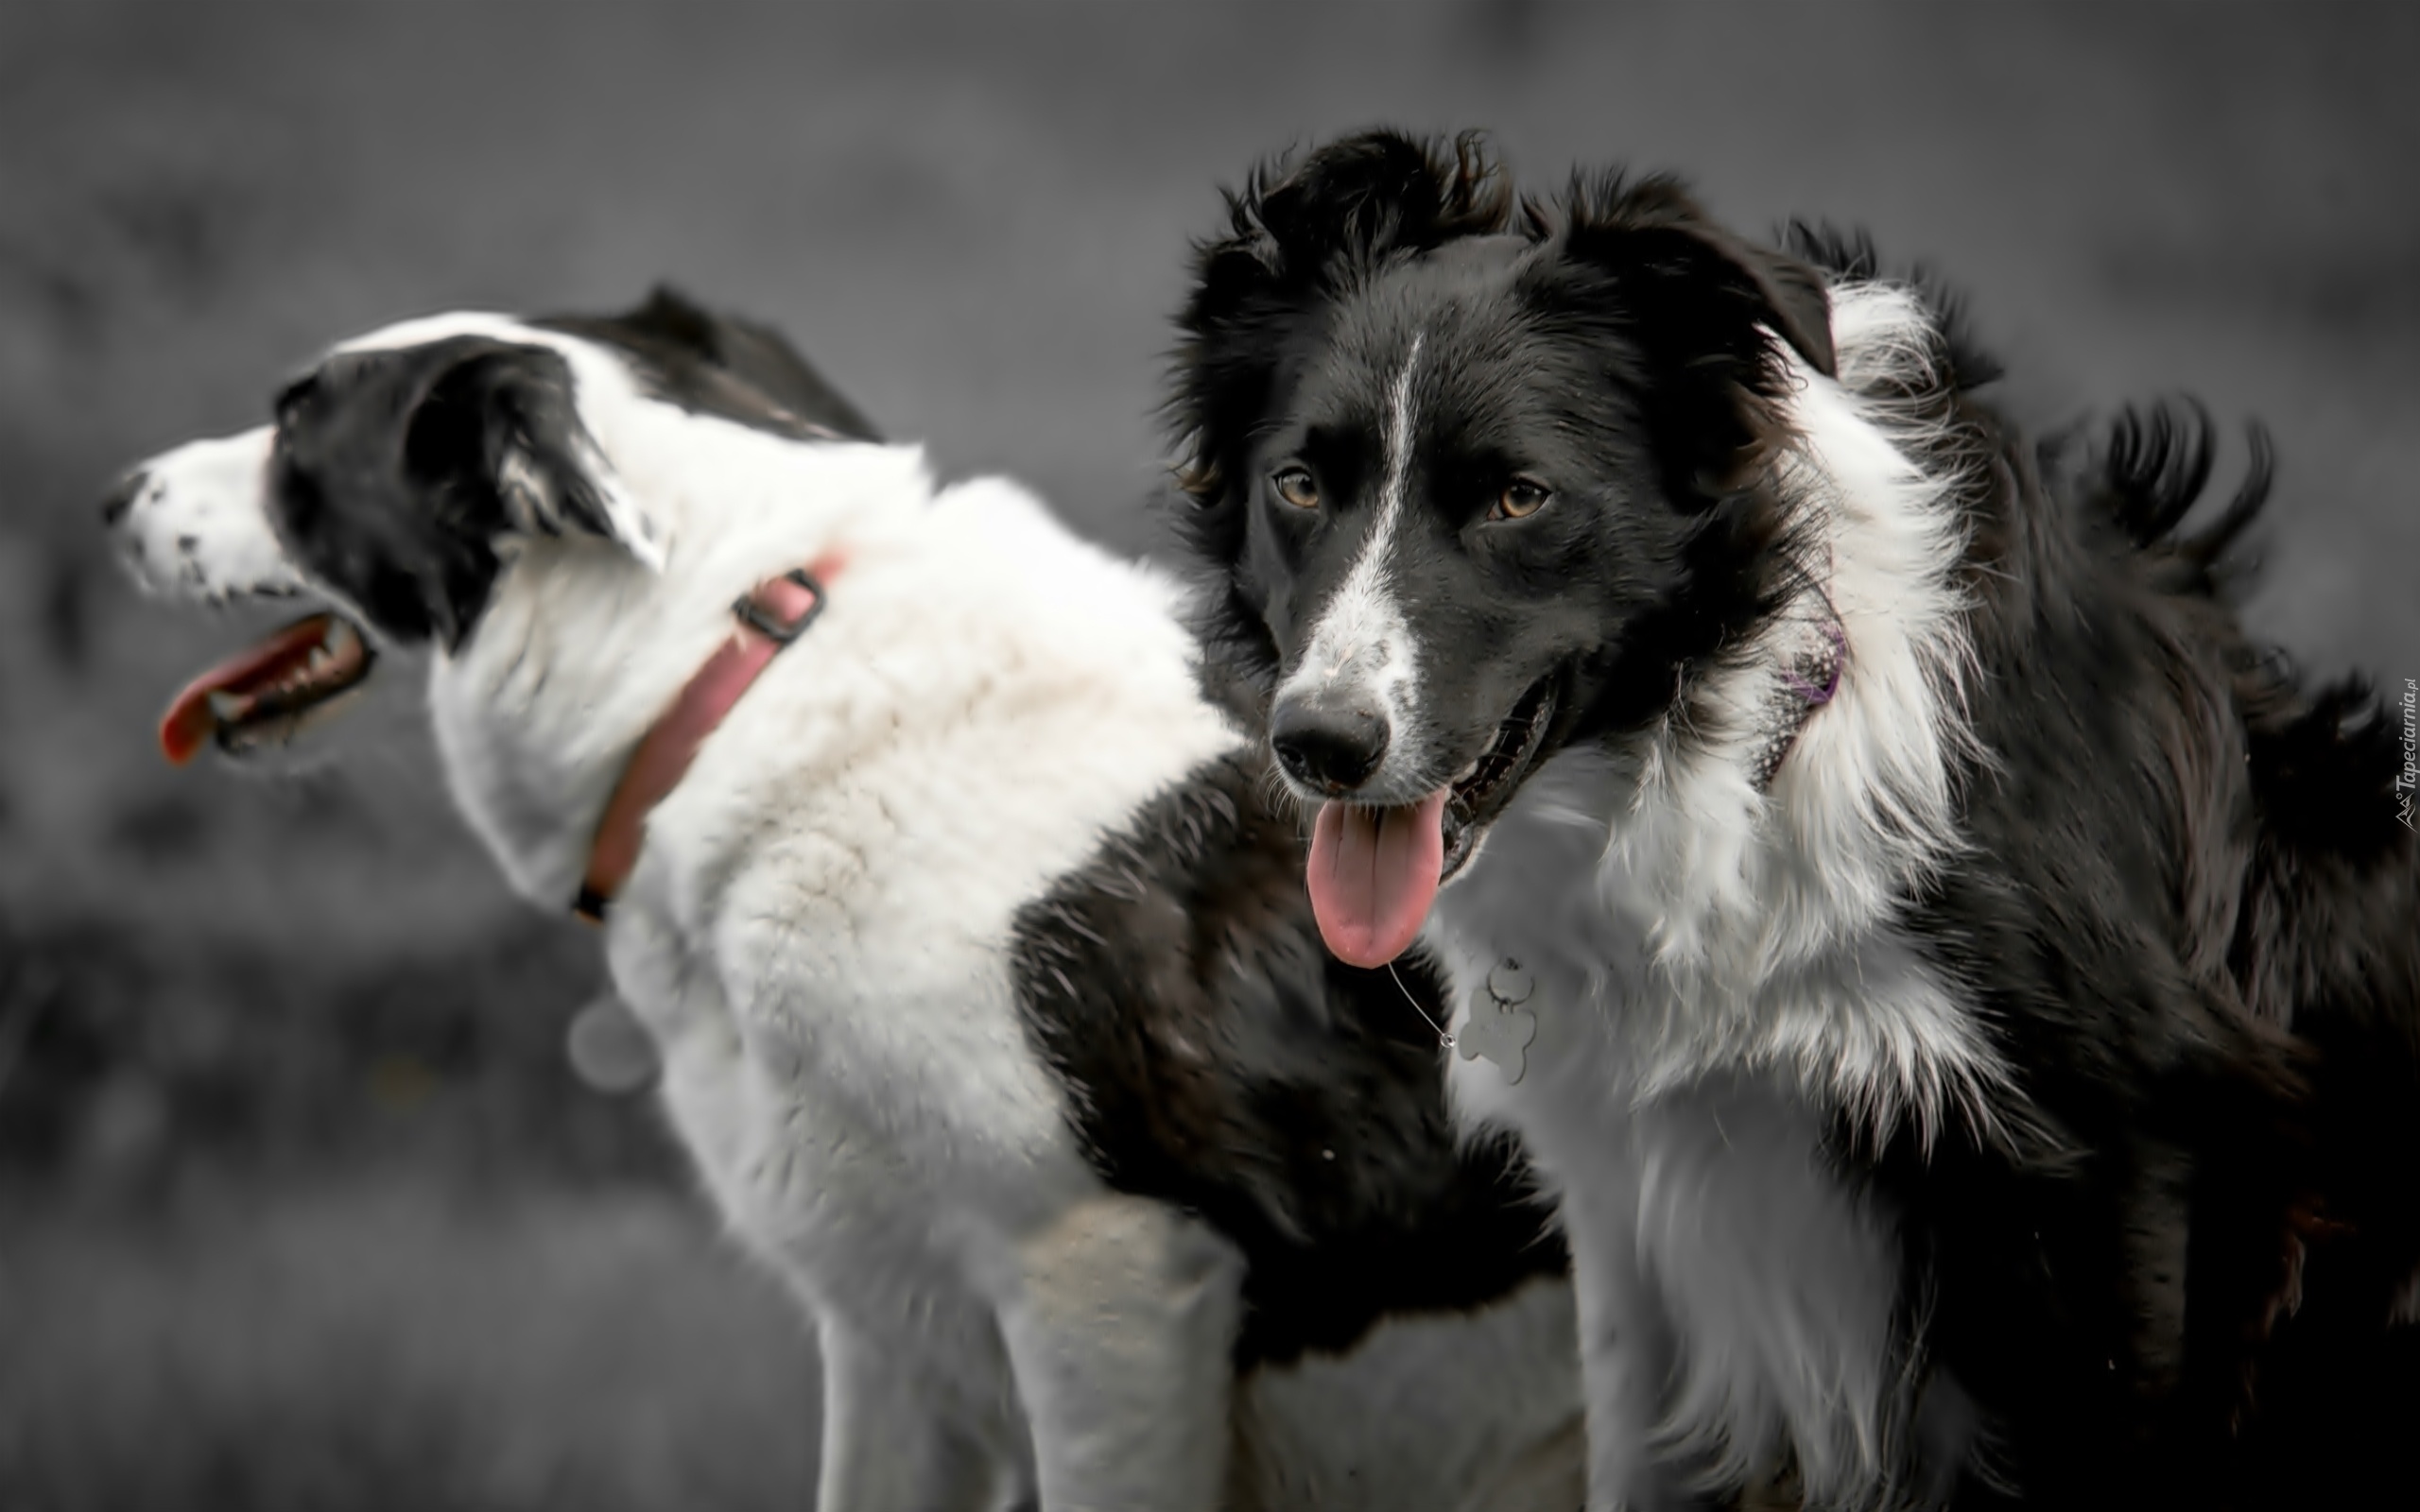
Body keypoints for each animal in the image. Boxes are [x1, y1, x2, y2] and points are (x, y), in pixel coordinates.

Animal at [1166, 132, 2420, 1509]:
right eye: (1297, 485)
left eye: (1516, 499)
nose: (1320, 747)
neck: (1737, 756)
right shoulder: (1641, 1216)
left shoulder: (2130, 1189)